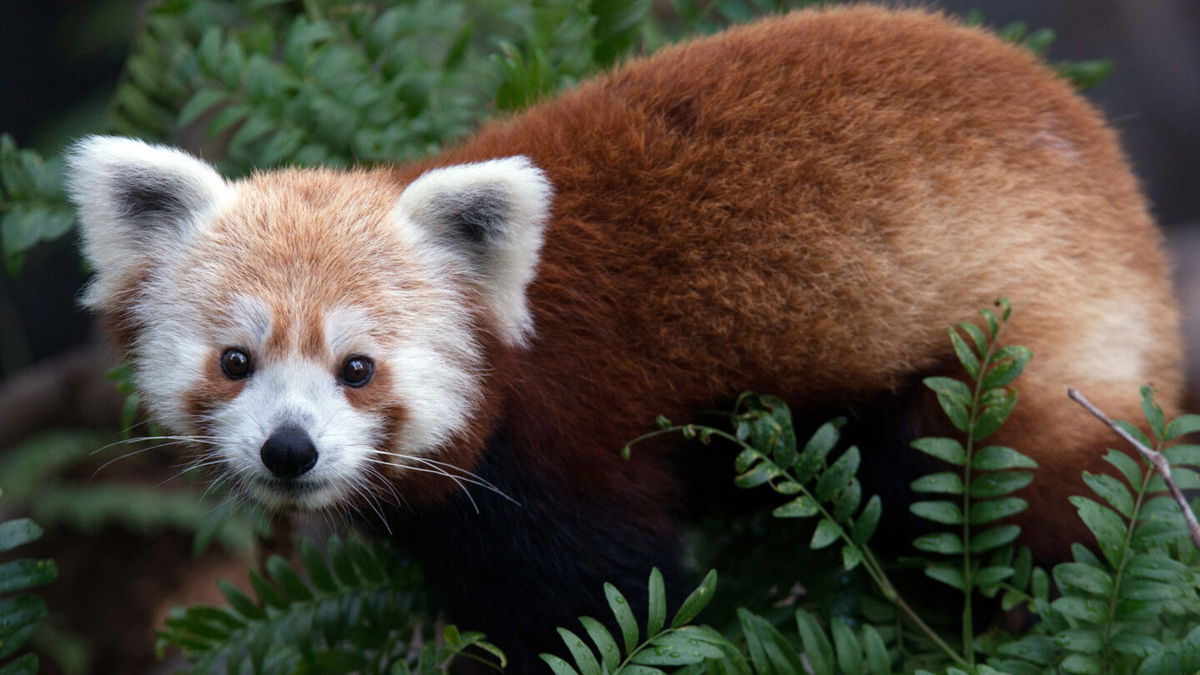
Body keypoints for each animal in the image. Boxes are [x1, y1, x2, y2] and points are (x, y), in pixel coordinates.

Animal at [65, 5, 1180, 667]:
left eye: (357, 369)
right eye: (236, 362)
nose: (289, 451)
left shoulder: (565, 441)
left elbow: (612, 593)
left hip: (1013, 352)